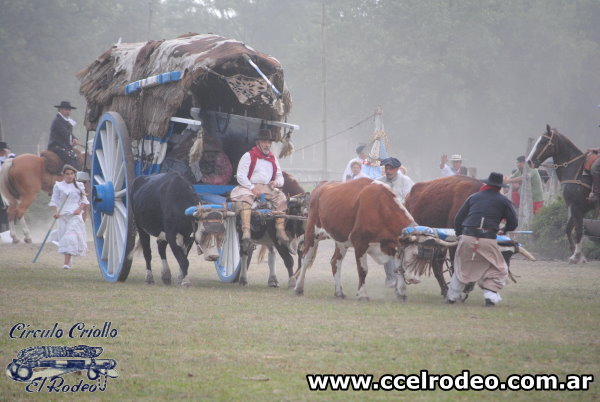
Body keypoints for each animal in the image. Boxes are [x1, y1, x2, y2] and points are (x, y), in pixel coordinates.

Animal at [528, 125, 592, 264]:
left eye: (543, 141)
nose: (529, 161)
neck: (576, 171)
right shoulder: (578, 208)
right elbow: (569, 229)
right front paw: (578, 254)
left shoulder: (576, 206)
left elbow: (578, 230)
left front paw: (576, 256)